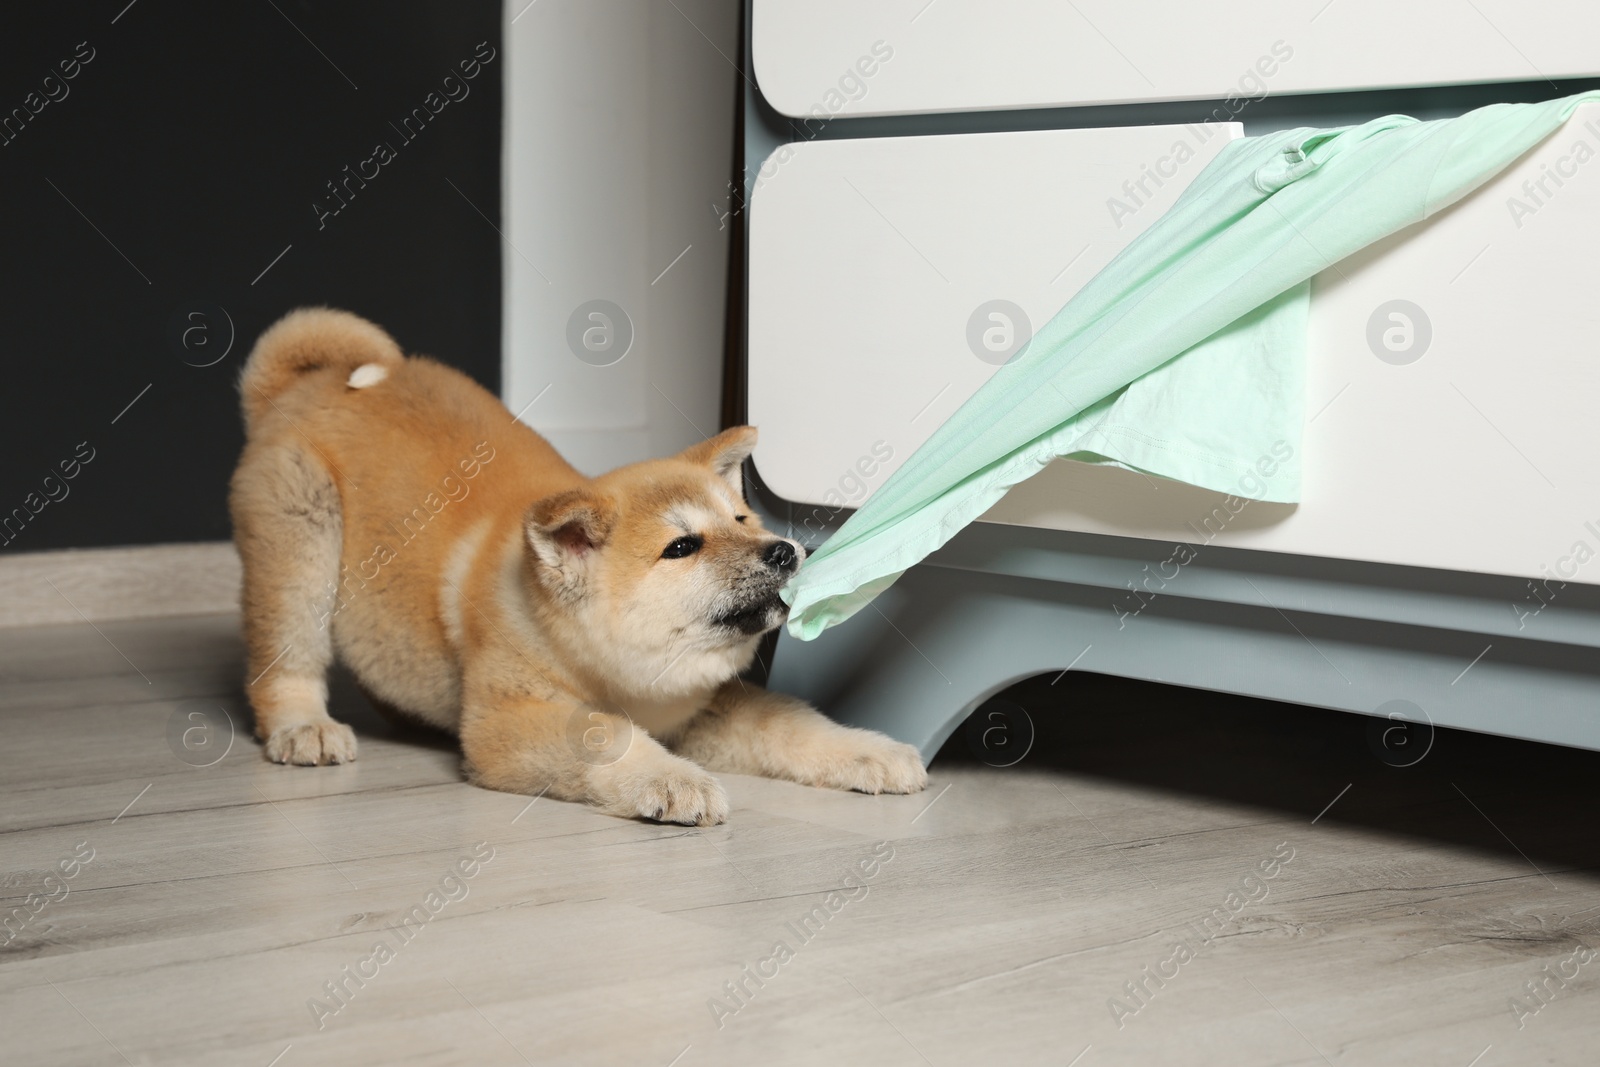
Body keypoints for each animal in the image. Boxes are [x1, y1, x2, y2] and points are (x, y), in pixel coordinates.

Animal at [225, 308, 928, 825]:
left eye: (741, 520)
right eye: (682, 547)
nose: (784, 549)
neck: (620, 677)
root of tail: (305, 385)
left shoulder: (698, 712)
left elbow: (789, 723)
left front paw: (869, 751)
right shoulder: (509, 718)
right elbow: (605, 735)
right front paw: (674, 780)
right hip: (300, 543)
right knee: (285, 660)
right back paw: (304, 727)